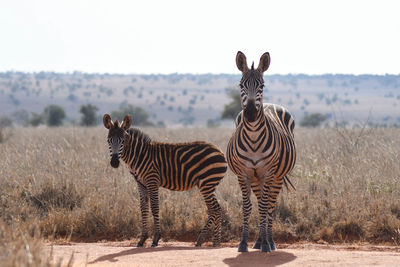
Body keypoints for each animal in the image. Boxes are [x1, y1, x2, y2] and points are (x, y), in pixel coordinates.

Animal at [103, 114, 228, 248]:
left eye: (123, 141)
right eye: (109, 140)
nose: (114, 163)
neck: (139, 155)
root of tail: (219, 150)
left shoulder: (152, 180)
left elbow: (154, 207)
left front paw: (156, 239)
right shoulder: (141, 184)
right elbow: (143, 209)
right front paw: (142, 239)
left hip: (207, 183)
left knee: (215, 208)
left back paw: (205, 240)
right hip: (208, 184)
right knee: (215, 208)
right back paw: (212, 241)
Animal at [227, 51, 296, 253]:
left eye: (262, 86)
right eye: (241, 85)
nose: (250, 113)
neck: (253, 138)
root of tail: (270, 104)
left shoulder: (267, 172)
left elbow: (266, 206)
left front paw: (266, 243)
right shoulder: (243, 174)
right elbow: (247, 207)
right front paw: (243, 243)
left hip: (276, 177)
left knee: (270, 205)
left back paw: (269, 241)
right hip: (256, 178)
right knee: (260, 204)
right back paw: (258, 241)